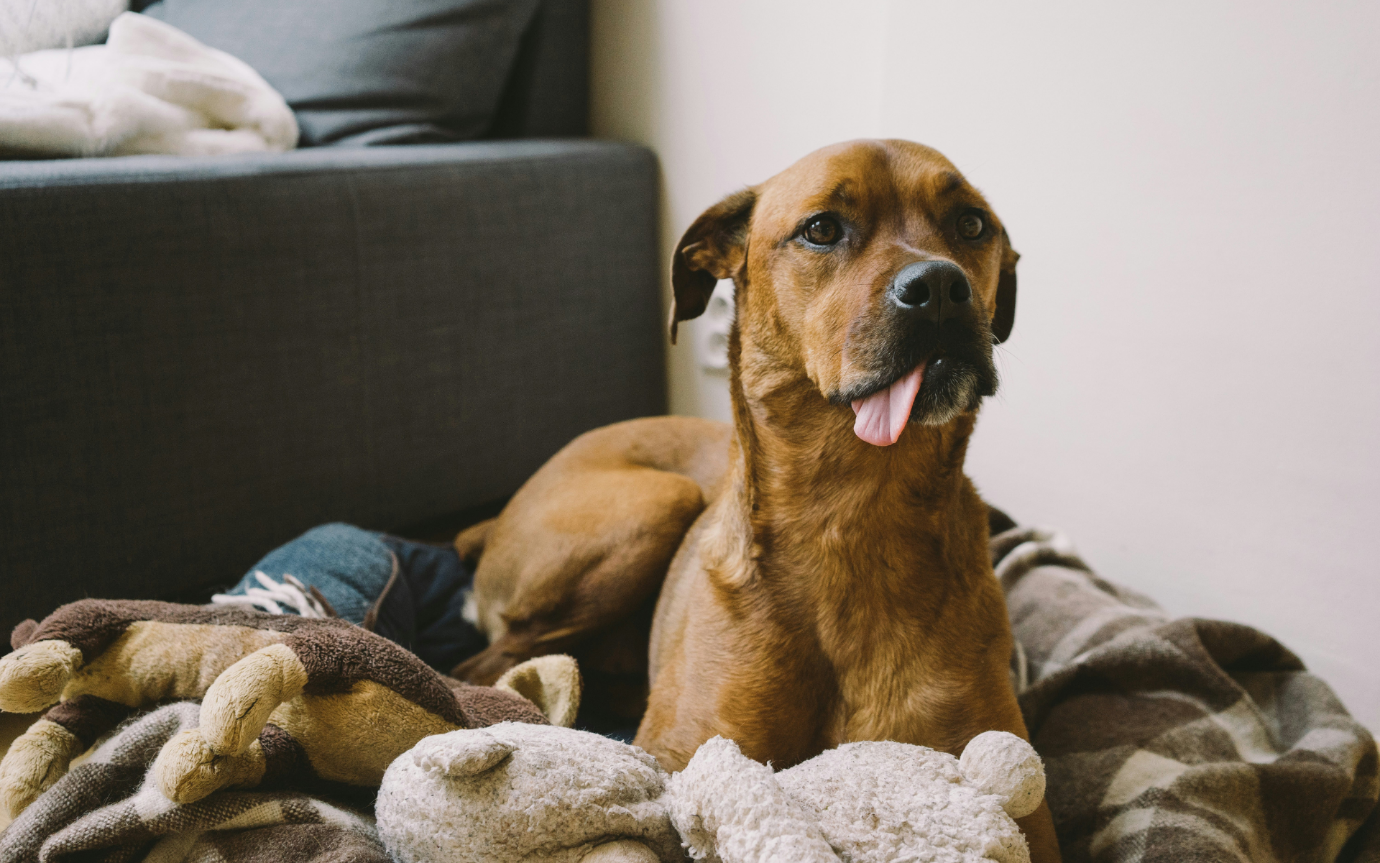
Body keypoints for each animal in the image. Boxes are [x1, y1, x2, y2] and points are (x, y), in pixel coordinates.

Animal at [458, 138, 1059, 856]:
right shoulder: (689, 758)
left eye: (971, 224)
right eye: (822, 228)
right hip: (653, 506)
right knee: (484, 663)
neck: (852, 514)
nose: (940, 286)